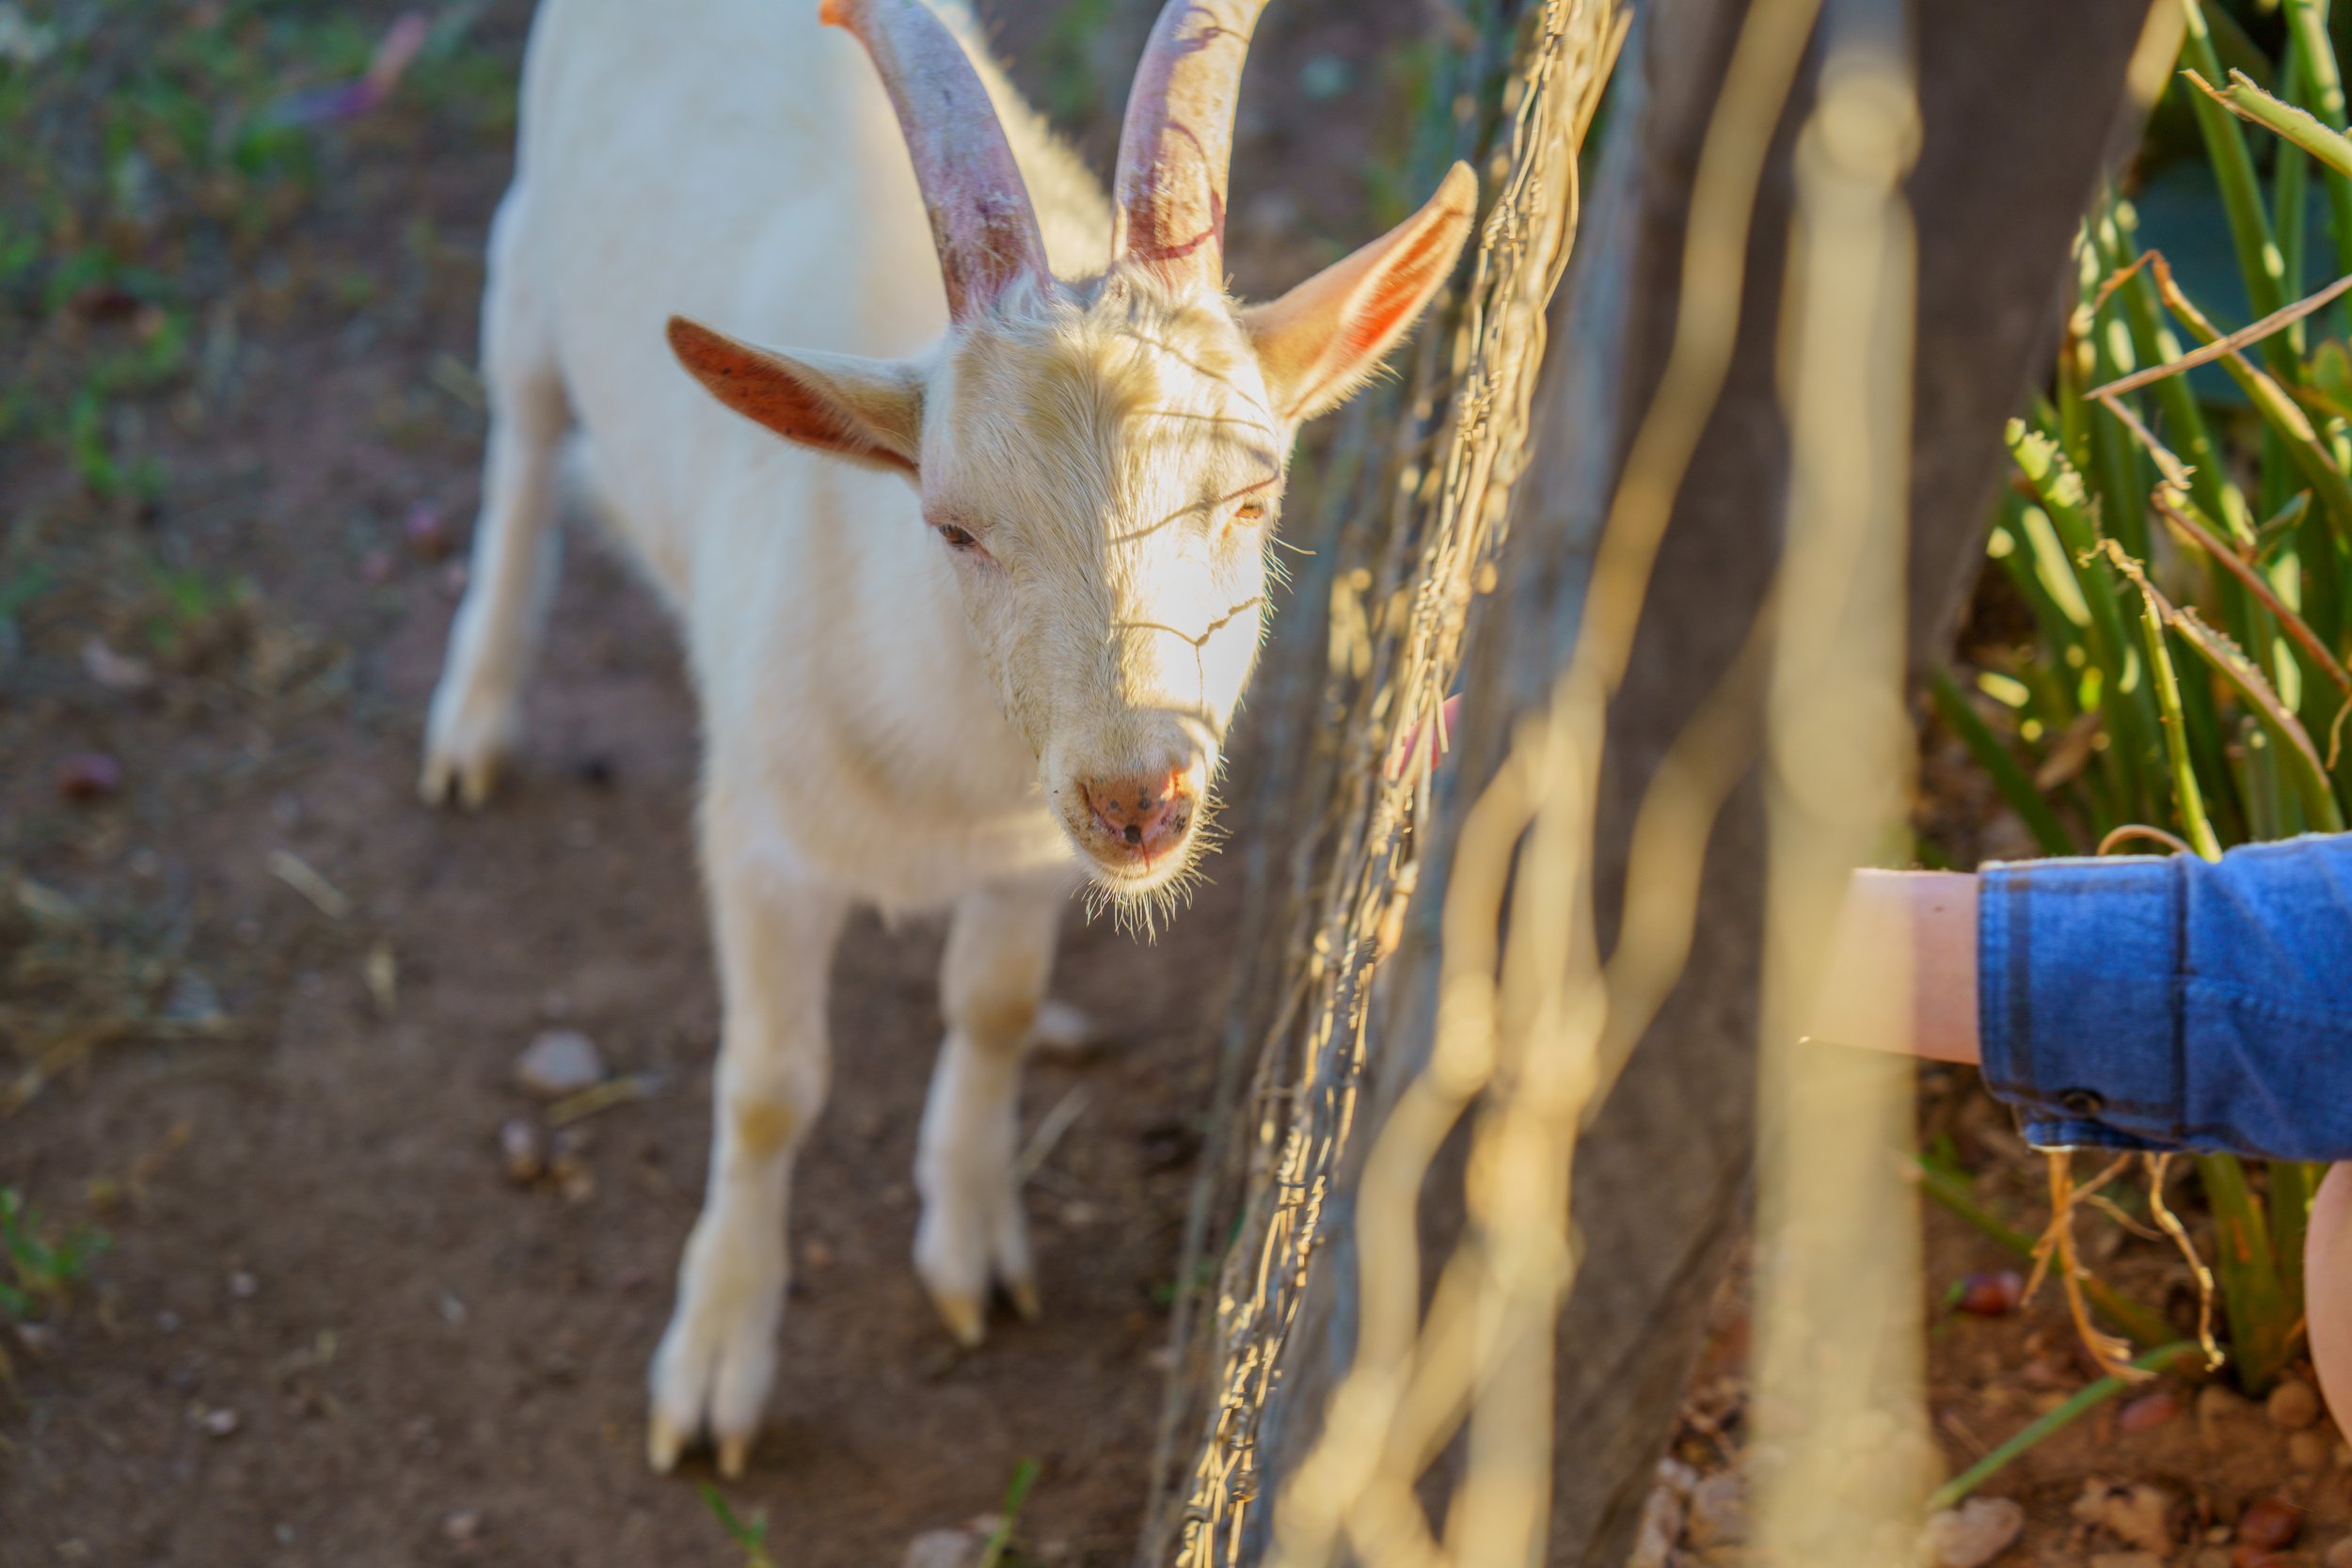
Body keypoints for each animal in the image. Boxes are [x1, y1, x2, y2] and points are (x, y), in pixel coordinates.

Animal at [419, 0, 1474, 1476]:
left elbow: (996, 1009)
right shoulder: (757, 844)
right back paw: (473, 713)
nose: (1138, 793)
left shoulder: (1027, 857)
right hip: (530, 250)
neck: (948, 775)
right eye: (955, 524)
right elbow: (769, 1088)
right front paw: (715, 1367)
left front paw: (972, 1254)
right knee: (519, 425)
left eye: (1256, 495)